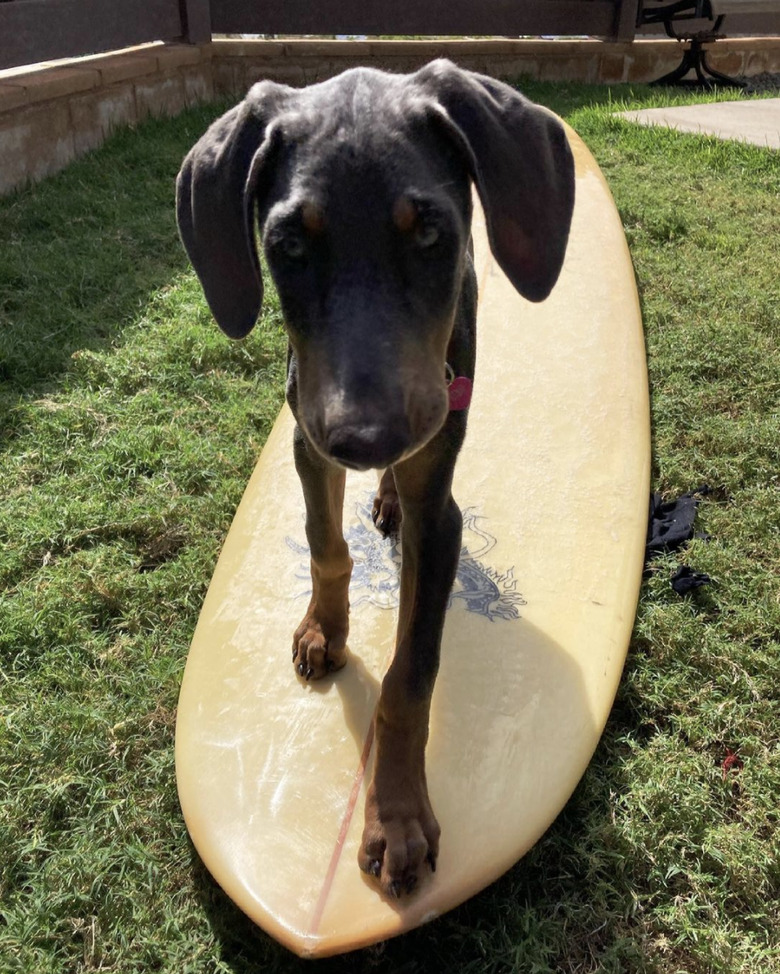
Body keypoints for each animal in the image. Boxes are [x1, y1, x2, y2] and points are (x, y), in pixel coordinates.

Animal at [180, 59, 576, 900]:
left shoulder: (439, 508)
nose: (366, 438)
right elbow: (324, 545)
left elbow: (408, 679)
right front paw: (324, 628)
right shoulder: (309, 440)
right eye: (288, 245)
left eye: (428, 232)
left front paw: (395, 821)